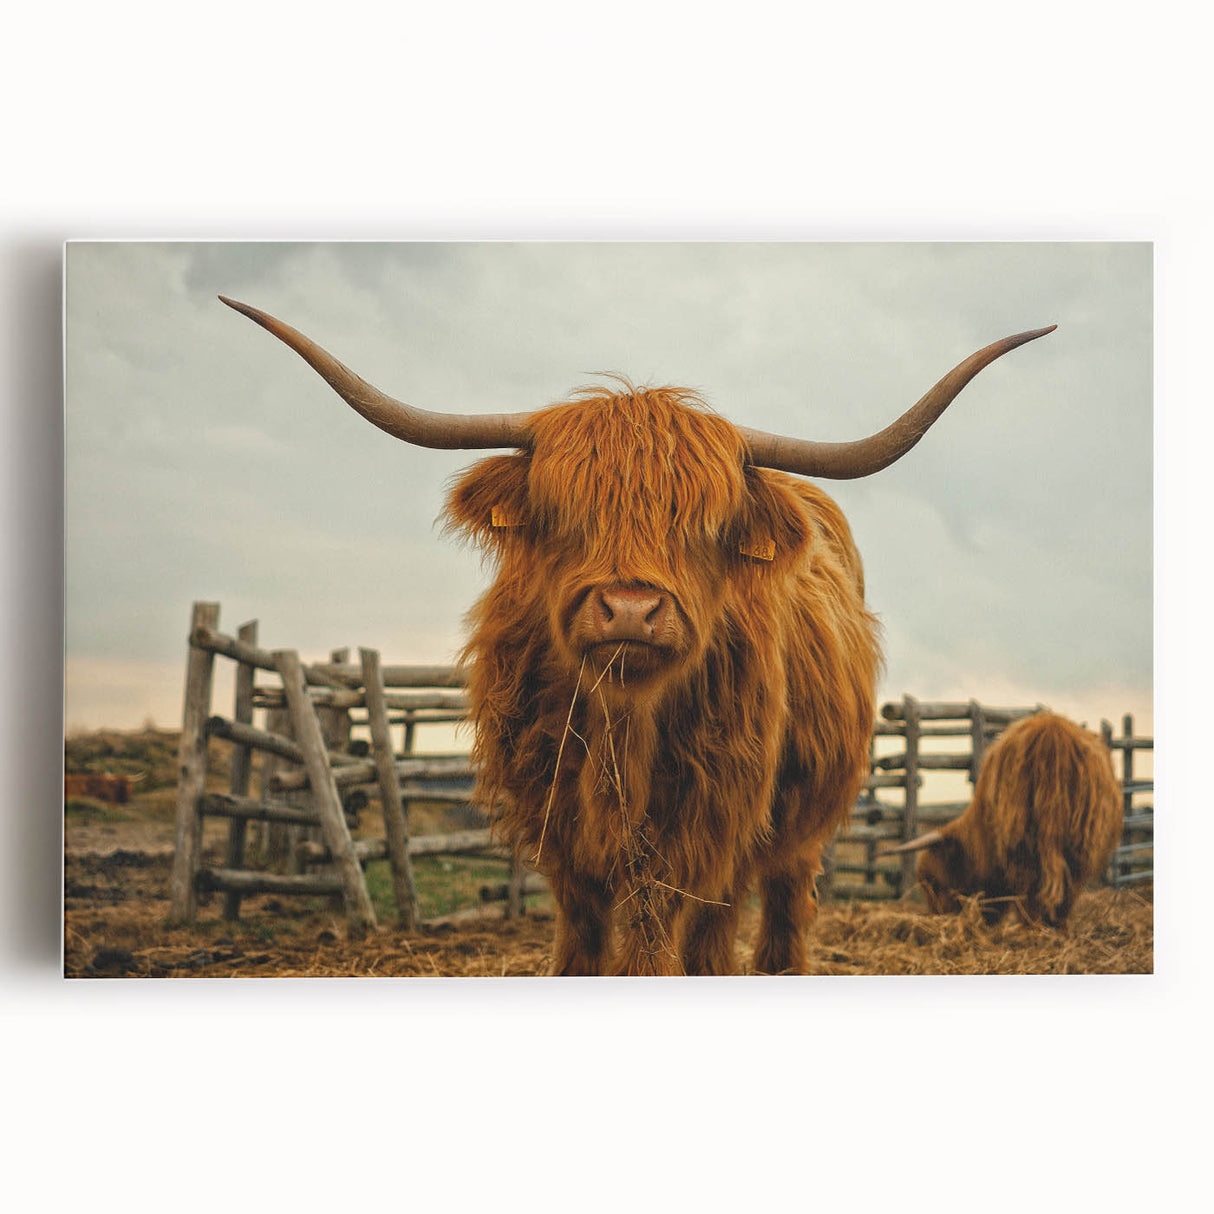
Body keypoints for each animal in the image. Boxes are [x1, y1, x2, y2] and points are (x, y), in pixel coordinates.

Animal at [221, 295, 1054, 974]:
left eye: (706, 525)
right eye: (564, 513)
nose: (629, 609)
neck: (623, 728)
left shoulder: (705, 824)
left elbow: (665, 935)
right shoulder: (556, 827)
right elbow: (584, 937)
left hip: (797, 823)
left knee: (773, 913)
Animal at [881, 712, 1123, 928]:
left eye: (934, 882)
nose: (938, 916)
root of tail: (1052, 732)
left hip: (1021, 838)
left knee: (1032, 883)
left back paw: (1032, 926)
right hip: (1080, 841)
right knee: (1067, 885)